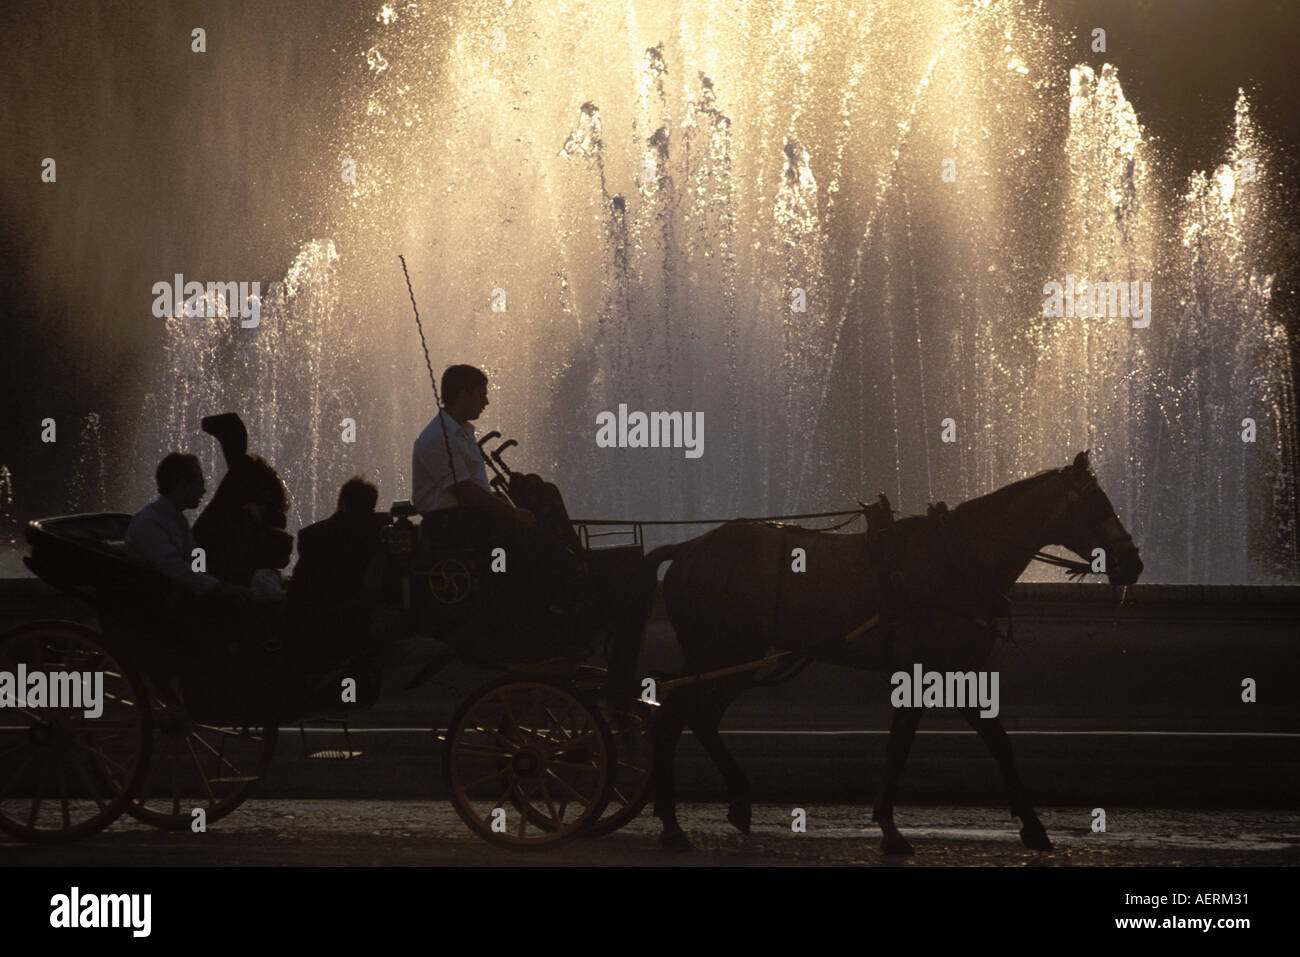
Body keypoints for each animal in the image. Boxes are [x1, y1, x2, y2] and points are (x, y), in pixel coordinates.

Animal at [637, 452, 1138, 858]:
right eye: (1097, 505)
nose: (1134, 563)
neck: (955, 560)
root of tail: (689, 548)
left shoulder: (948, 671)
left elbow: (971, 742)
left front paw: (1029, 826)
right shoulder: (937, 671)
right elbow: (940, 745)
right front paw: (894, 829)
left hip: (740, 658)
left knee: (699, 716)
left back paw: (735, 802)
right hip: (719, 651)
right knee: (673, 716)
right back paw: (672, 824)